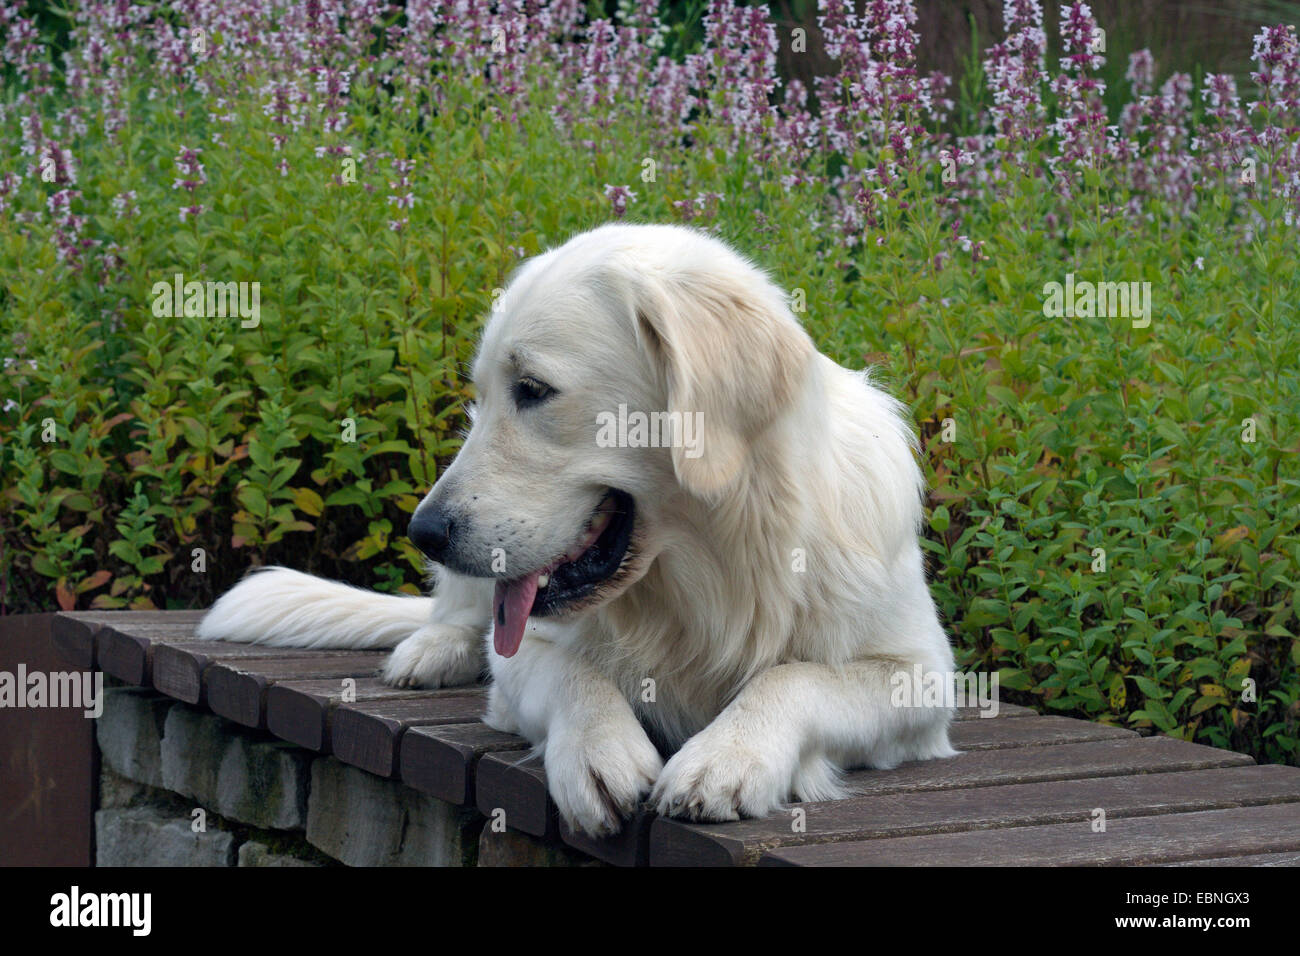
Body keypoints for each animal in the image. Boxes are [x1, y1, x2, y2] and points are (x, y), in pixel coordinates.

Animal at [200, 223, 956, 837]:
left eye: (533, 390)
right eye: (482, 395)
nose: (424, 532)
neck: (709, 575)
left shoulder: (923, 676)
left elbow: (795, 678)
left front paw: (726, 756)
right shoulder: (523, 651)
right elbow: (571, 671)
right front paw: (599, 752)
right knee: (457, 614)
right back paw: (435, 649)